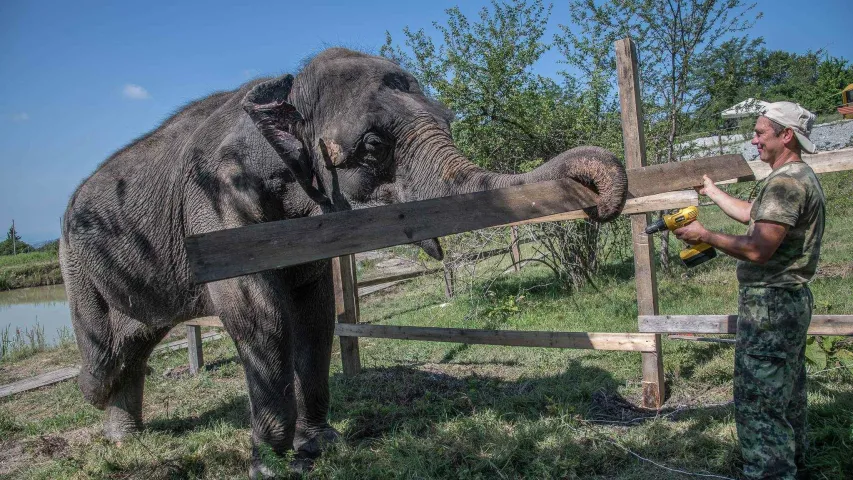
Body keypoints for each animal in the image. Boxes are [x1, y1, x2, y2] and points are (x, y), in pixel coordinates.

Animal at [60, 47, 624, 476]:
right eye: (373, 147)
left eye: (448, 121)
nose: (595, 195)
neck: (285, 93)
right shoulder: (218, 202)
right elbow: (260, 315)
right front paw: (270, 463)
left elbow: (315, 313)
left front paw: (320, 444)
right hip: (75, 264)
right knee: (105, 352)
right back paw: (101, 408)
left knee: (133, 343)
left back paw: (124, 433)